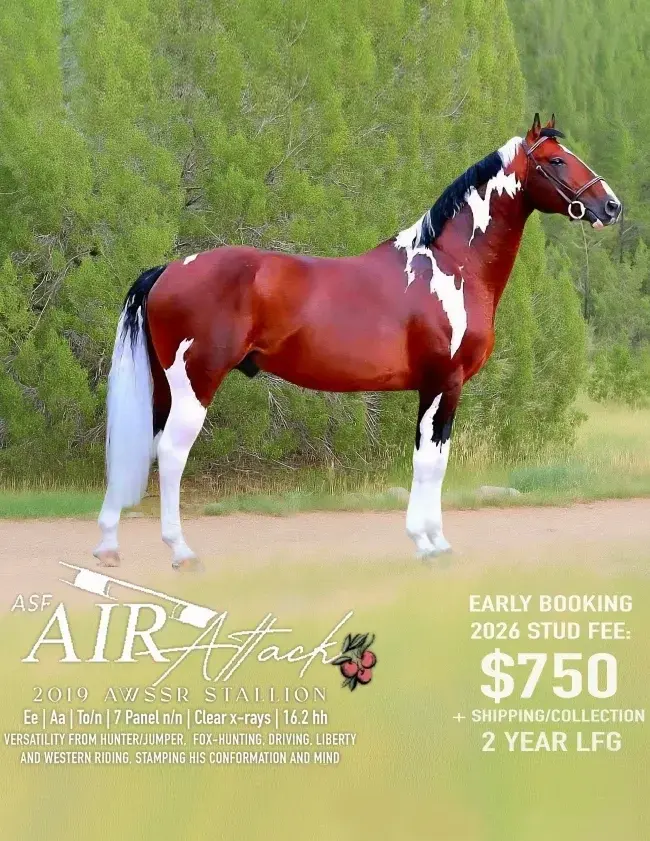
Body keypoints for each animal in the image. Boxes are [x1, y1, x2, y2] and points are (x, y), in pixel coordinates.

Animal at [94, 114, 621, 570]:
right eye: (556, 160)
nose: (611, 206)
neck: (451, 265)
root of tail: (168, 270)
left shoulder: (436, 388)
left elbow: (433, 461)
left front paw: (431, 541)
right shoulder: (443, 383)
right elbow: (430, 463)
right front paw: (430, 544)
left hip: (163, 388)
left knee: (142, 446)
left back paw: (109, 547)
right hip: (195, 383)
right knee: (170, 455)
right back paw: (181, 552)